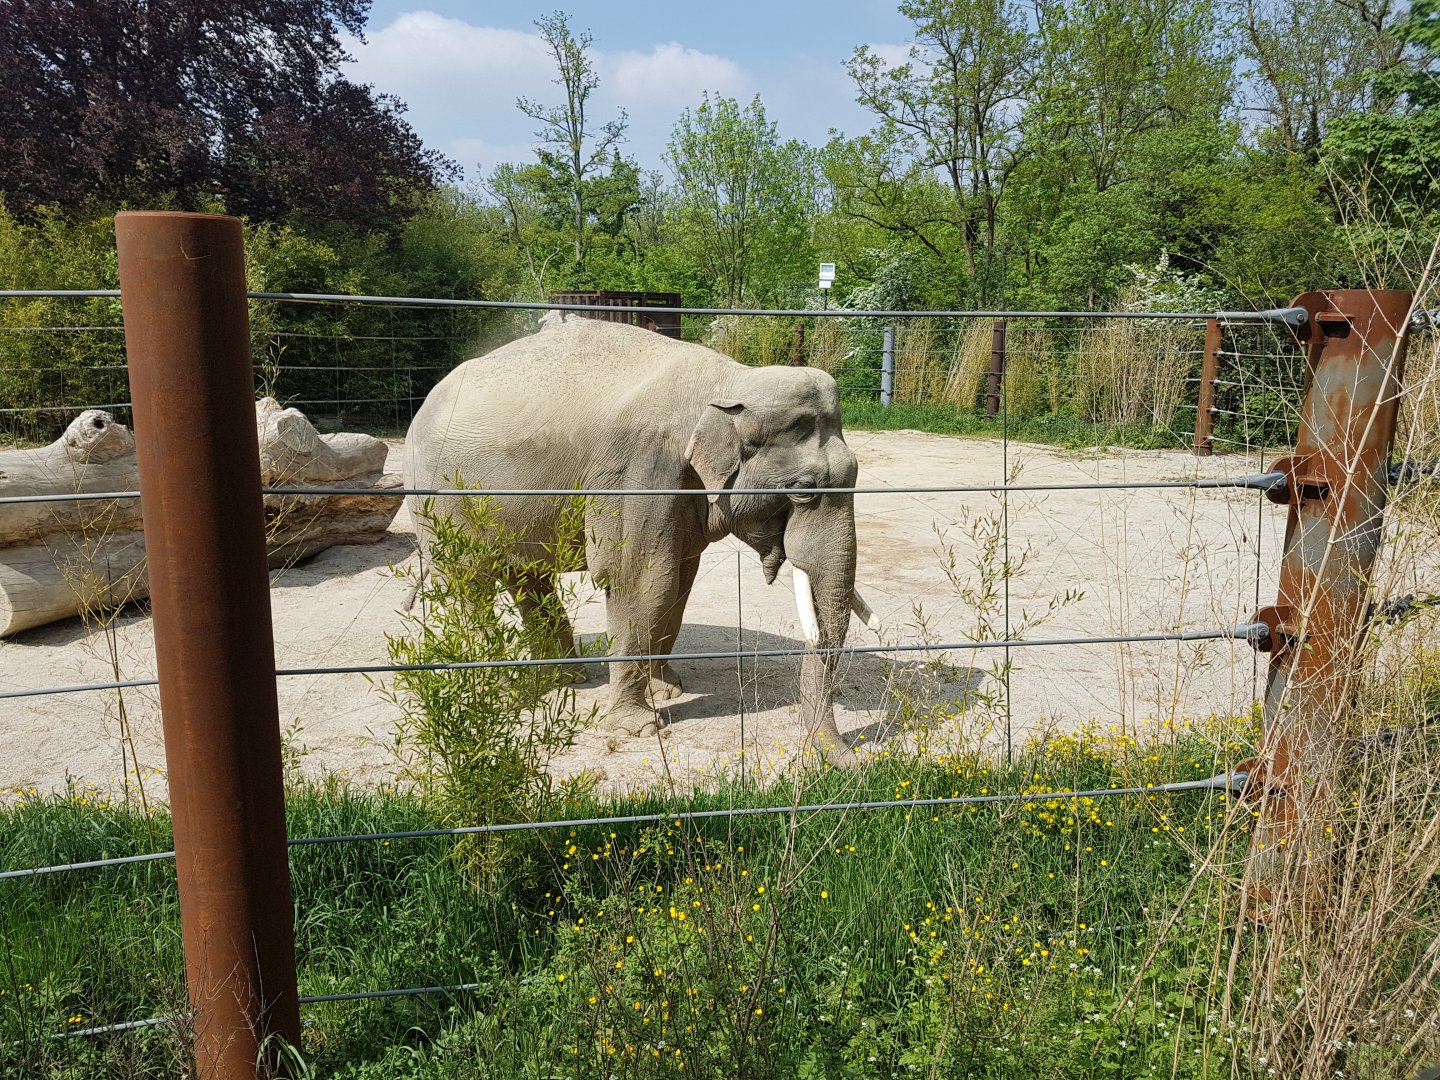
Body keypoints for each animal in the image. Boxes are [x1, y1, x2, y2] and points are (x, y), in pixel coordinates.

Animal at [402, 315, 877, 762]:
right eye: (804, 490)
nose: (852, 762)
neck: (728, 381)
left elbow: (680, 578)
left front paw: (666, 690)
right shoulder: (640, 472)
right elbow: (643, 580)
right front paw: (640, 728)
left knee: (526, 575)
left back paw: (563, 678)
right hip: (437, 497)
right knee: (468, 581)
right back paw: (497, 689)